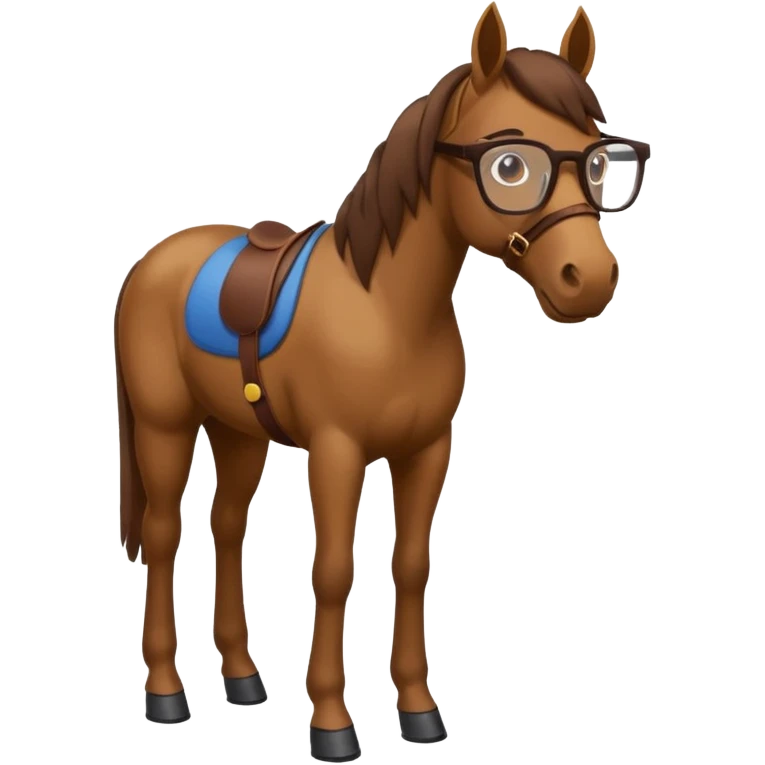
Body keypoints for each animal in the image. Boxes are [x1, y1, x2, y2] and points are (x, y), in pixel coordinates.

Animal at [114, 2, 649, 757]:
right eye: (510, 164)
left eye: (603, 162)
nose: (591, 280)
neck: (388, 310)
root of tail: (149, 262)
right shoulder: (337, 452)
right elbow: (335, 571)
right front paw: (332, 725)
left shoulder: (426, 451)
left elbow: (411, 566)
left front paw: (420, 712)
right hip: (165, 427)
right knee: (164, 537)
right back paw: (165, 693)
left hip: (238, 430)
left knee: (226, 526)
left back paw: (244, 679)